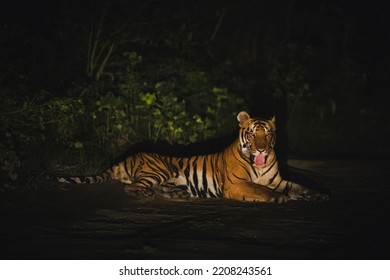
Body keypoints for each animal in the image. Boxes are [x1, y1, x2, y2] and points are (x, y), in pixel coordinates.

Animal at [55, 110, 330, 202]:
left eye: (268, 134)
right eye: (253, 134)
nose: (262, 149)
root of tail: (126, 157)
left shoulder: (279, 180)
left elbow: (300, 186)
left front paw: (320, 195)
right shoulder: (237, 185)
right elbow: (262, 190)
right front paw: (279, 198)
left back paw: (178, 195)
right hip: (160, 169)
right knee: (132, 187)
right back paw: (146, 194)